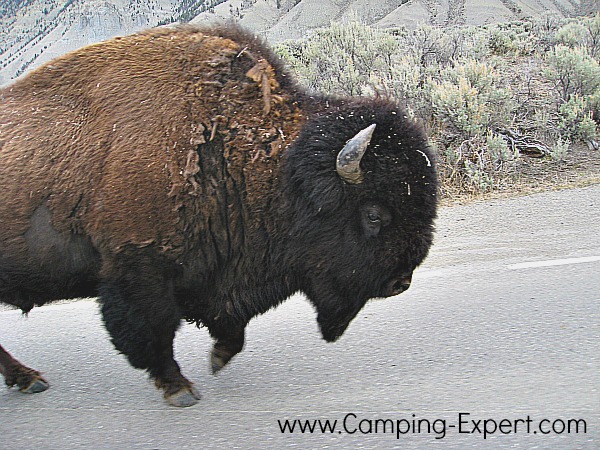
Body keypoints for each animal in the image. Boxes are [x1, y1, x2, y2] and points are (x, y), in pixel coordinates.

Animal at [2, 24, 438, 406]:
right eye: (374, 215)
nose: (401, 282)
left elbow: (231, 326)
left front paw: (217, 359)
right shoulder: (139, 268)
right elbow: (154, 329)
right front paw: (180, 389)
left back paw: (29, 380)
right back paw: (30, 379)